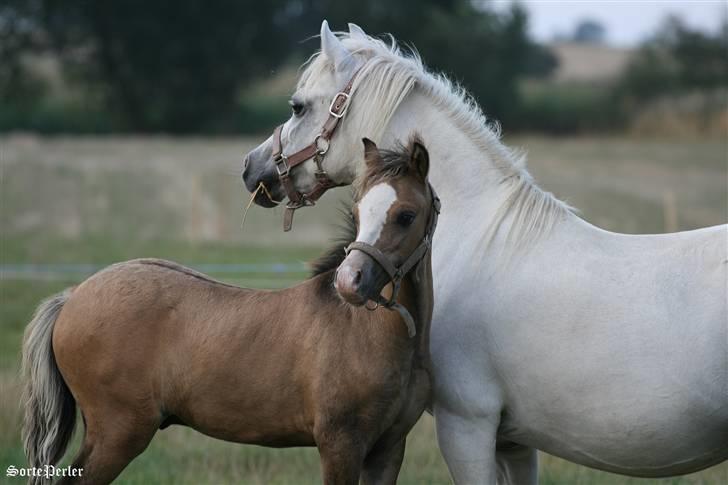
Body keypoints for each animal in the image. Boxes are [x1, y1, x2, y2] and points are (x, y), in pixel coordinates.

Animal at [21, 136, 438, 484]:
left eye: (406, 215)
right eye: (358, 210)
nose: (349, 282)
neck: (367, 333)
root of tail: (72, 296)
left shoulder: (388, 449)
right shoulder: (340, 443)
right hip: (117, 433)